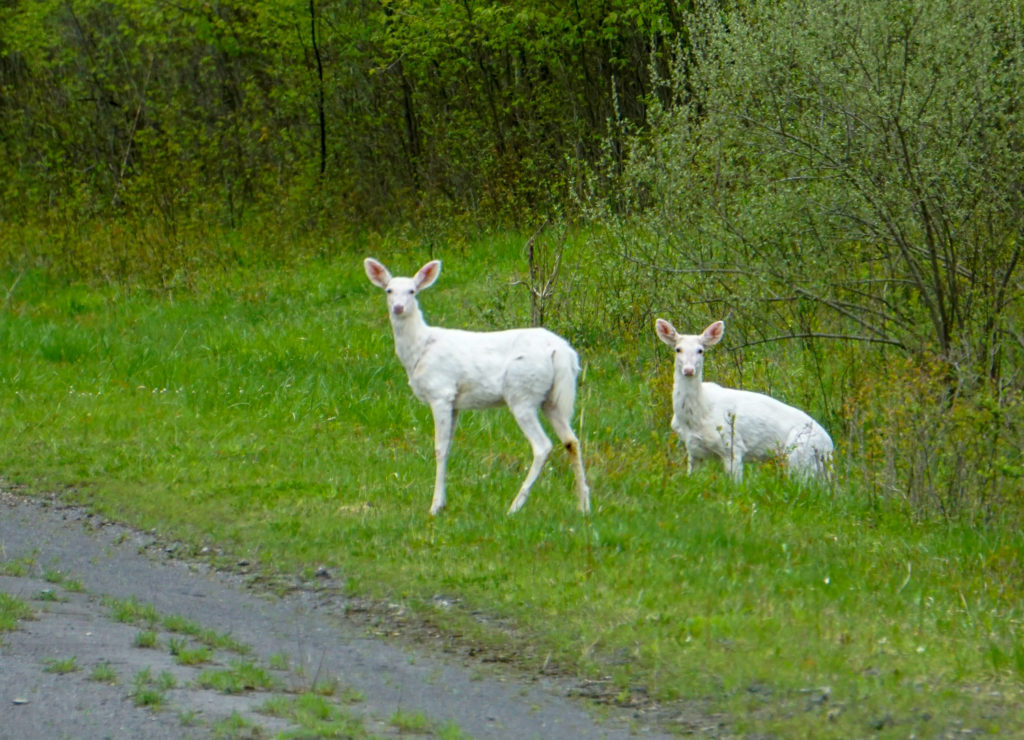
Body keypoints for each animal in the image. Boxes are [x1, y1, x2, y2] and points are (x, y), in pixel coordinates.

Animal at [366, 258, 593, 515]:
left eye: (412, 291)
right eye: (389, 290)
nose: (398, 308)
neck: (419, 349)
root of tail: (562, 351)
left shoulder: (441, 392)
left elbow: (439, 449)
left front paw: (434, 507)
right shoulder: (454, 402)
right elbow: (448, 448)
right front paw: (442, 502)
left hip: (522, 393)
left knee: (543, 445)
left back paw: (515, 506)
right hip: (551, 399)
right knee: (571, 441)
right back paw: (583, 505)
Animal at [655, 319, 831, 481]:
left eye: (701, 350)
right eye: (678, 349)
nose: (689, 370)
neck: (696, 415)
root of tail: (829, 446)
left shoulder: (732, 446)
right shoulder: (693, 450)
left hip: (800, 455)